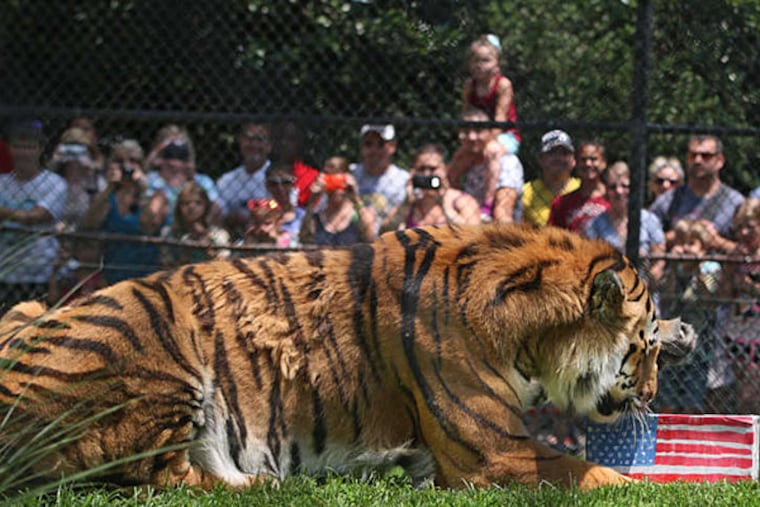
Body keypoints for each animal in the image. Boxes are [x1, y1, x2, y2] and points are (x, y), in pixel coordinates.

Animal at [0, 223, 695, 490]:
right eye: (642, 350)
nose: (654, 396)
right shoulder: (493, 452)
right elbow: (605, 477)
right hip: (161, 360)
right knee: (166, 479)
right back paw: (269, 483)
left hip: (27, 308)